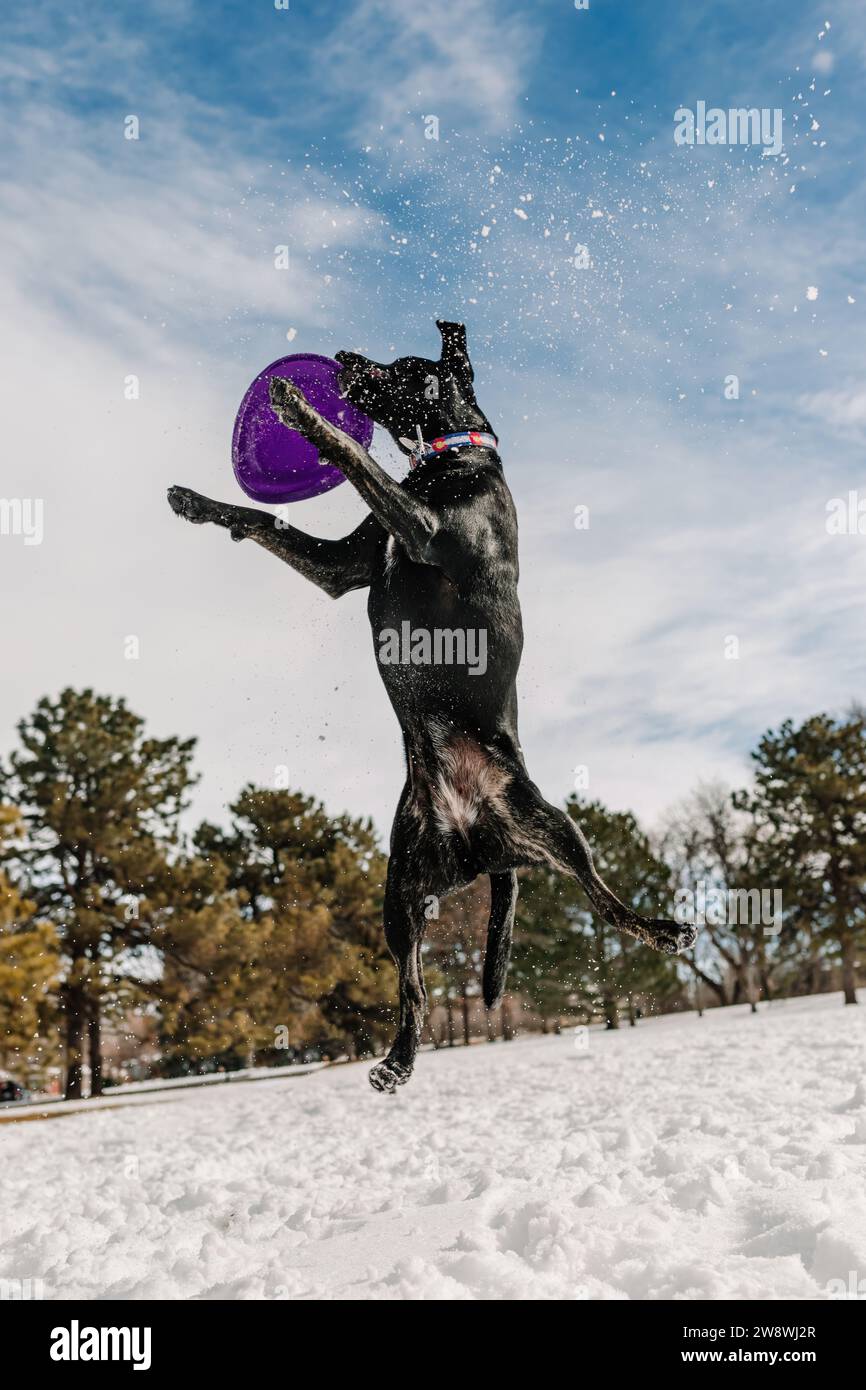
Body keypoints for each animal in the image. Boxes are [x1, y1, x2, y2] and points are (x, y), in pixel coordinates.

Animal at [169, 319, 697, 1089]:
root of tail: (479, 842)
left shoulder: (415, 526)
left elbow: (354, 452)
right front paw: (196, 502)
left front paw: (301, 411)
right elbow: (264, 520)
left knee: (603, 899)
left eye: (400, 364)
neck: (450, 457)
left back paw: (662, 929)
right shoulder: (344, 567)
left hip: (554, 827)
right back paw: (397, 1060)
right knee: (414, 988)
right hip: (401, 893)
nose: (342, 357)